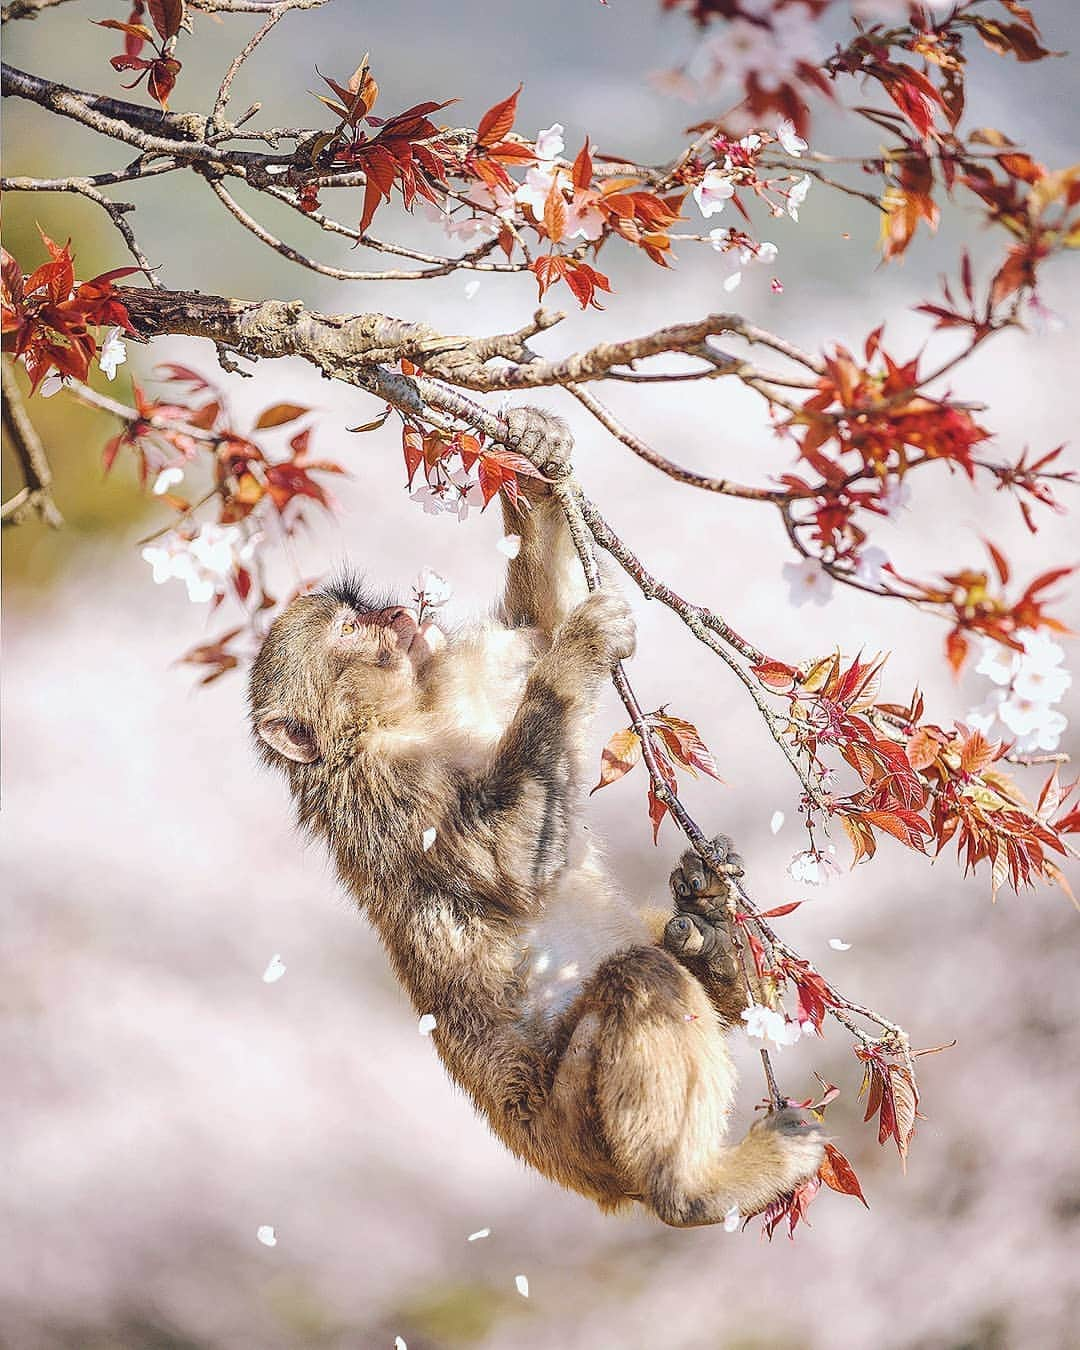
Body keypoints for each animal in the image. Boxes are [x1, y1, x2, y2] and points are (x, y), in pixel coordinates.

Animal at [248, 405, 820, 1231]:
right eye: (352, 633)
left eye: (362, 612)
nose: (397, 615)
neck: (413, 712)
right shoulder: (387, 790)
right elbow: (510, 858)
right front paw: (581, 648)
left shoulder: (468, 670)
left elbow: (536, 628)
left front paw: (537, 445)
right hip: (581, 1113)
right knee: (637, 978)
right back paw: (692, 1188)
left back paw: (713, 944)